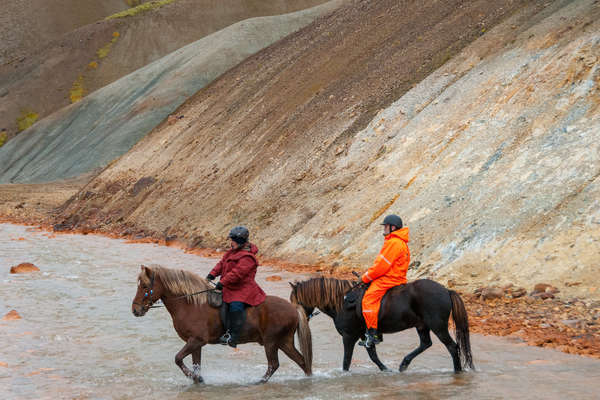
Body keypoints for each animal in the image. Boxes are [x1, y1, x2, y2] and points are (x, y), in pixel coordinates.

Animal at [129, 264, 312, 382]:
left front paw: (194, 377)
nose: (135, 310)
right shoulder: (195, 343)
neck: (191, 304)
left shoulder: (196, 341)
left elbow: (178, 359)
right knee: (302, 362)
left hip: (271, 342)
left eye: (144, 286)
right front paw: (198, 379)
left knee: (274, 365)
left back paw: (259, 381)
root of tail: (293, 308)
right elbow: (196, 365)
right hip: (284, 342)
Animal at [290, 276, 474, 374]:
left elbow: (346, 361)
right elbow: (373, 355)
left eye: (295, 300)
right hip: (422, 326)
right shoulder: (365, 336)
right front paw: (385, 370)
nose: (297, 319)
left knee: (452, 347)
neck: (342, 302)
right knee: (425, 344)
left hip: (438, 327)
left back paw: (457, 371)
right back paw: (404, 364)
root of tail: (446, 291)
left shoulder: (349, 337)